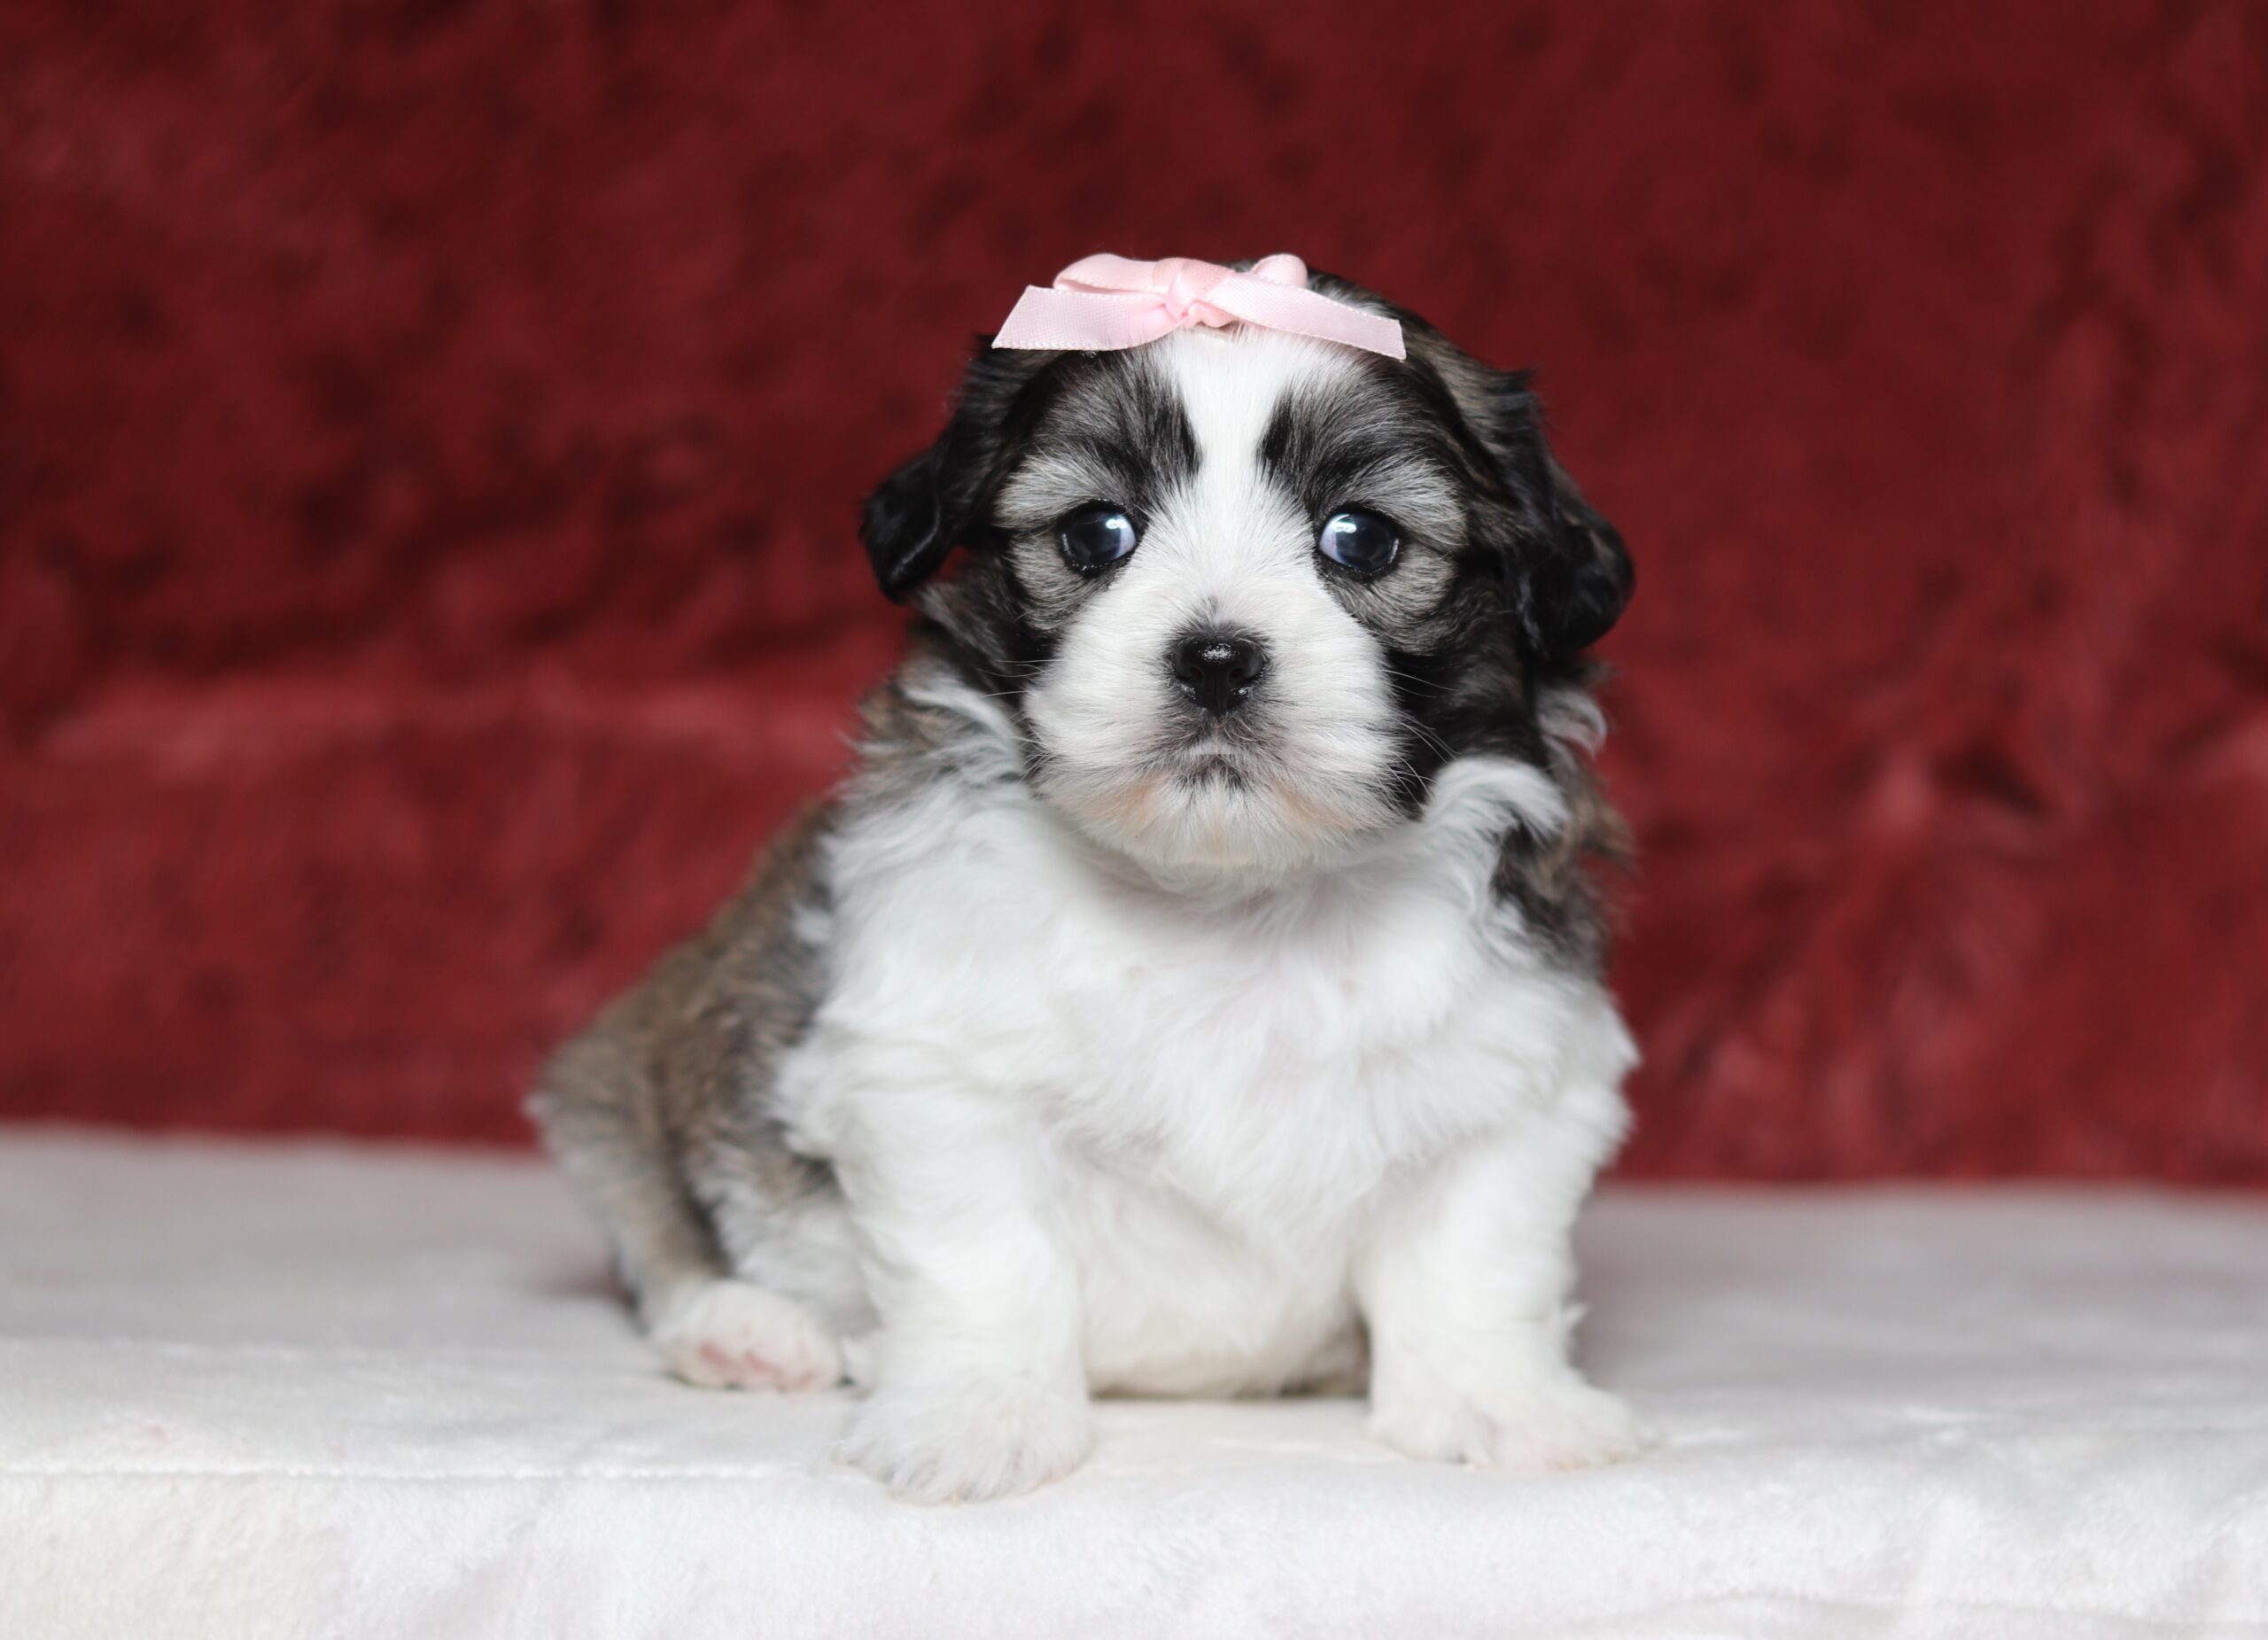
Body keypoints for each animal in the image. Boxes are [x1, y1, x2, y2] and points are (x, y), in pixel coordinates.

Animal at [532, 255, 1643, 1502]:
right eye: (1095, 534)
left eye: (1361, 539)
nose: (1217, 658)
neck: (1229, 893)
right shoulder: (935, 1075)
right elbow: (982, 1260)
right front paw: (978, 1416)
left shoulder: (1516, 1079)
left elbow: (1476, 1257)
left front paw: (1501, 1405)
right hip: (619, 1081)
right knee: (649, 1225)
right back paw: (742, 1327)